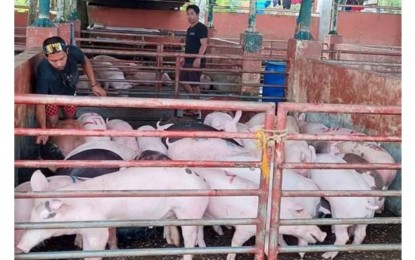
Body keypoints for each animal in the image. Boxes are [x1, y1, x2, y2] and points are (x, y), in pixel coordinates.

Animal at [17, 169, 210, 260]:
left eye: (47, 216)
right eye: (31, 215)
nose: (20, 246)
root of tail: (201, 180)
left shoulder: (97, 229)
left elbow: (95, 249)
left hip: (189, 211)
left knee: (190, 237)